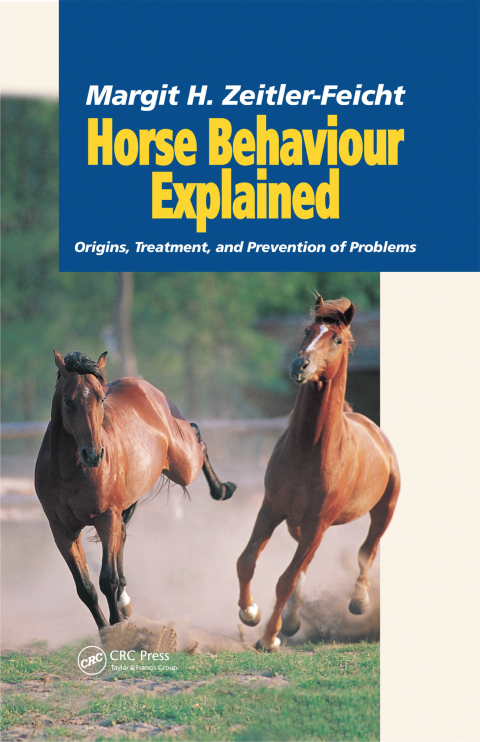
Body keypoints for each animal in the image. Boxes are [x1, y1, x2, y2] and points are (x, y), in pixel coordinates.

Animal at [35, 350, 236, 630]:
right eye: (68, 400)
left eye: (100, 398)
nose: (93, 455)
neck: (69, 471)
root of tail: (144, 387)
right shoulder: (62, 531)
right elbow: (86, 589)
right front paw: (105, 627)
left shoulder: (106, 517)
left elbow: (107, 580)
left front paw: (117, 626)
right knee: (122, 537)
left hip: (183, 467)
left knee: (198, 438)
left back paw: (223, 488)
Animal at [237, 296, 400, 651]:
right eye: (307, 330)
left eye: (337, 339)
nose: (300, 365)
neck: (309, 449)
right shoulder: (271, 508)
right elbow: (247, 561)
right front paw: (250, 613)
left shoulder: (318, 523)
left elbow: (285, 580)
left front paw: (268, 638)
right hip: (297, 525)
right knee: (305, 565)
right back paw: (292, 620)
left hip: (384, 509)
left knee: (367, 550)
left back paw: (359, 601)